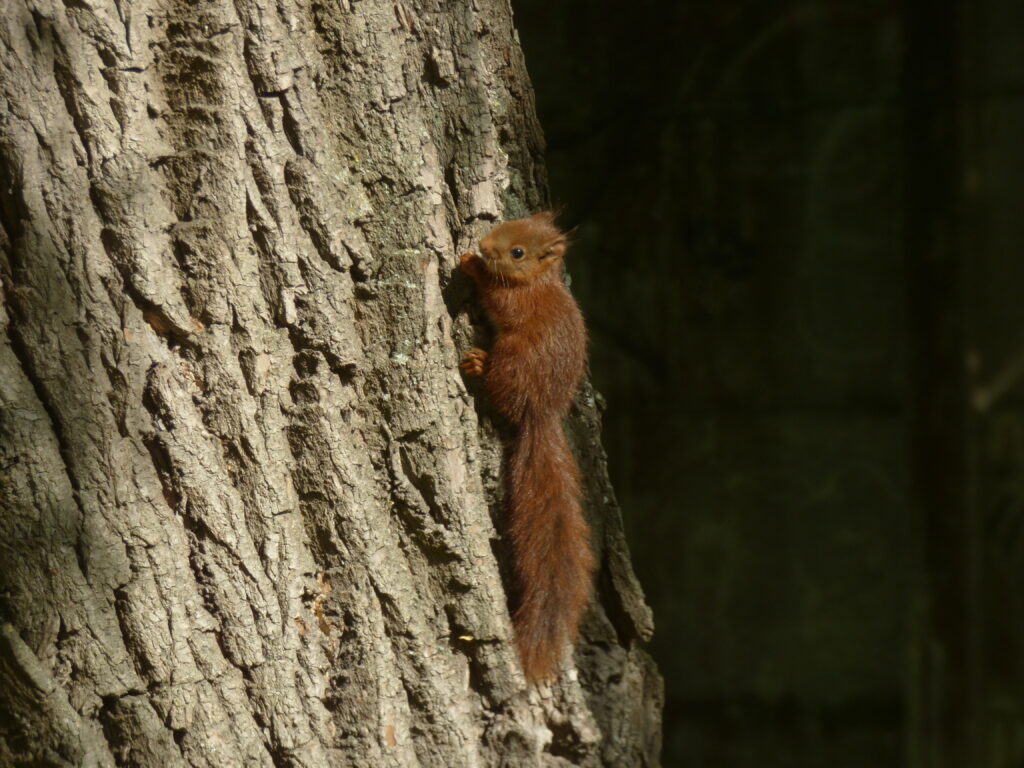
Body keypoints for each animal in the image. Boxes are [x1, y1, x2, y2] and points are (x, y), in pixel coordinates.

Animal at [459, 211, 595, 681]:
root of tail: (541, 413)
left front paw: (472, 266)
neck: (537, 281)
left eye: (518, 253)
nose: (485, 245)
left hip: (514, 359)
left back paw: (479, 365)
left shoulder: (517, 303)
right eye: (510, 221)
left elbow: (498, 300)